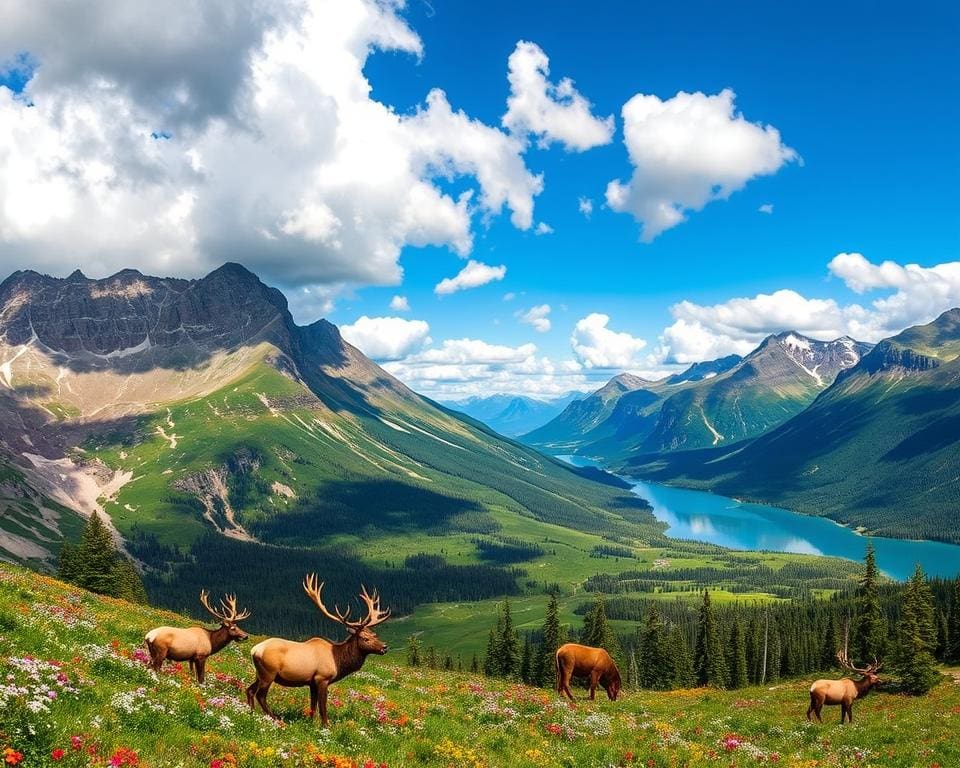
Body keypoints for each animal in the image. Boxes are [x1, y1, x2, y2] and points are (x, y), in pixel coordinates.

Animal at [246, 572, 392, 724]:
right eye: (365, 638)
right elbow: (323, 706)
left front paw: (311, 722)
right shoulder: (322, 678)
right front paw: (325, 725)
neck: (338, 660)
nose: (384, 647)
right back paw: (275, 718)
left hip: (259, 673)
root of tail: (254, 650)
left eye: (374, 634)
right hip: (269, 673)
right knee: (260, 695)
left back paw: (251, 713)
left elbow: (313, 705)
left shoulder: (311, 682)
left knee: (249, 690)